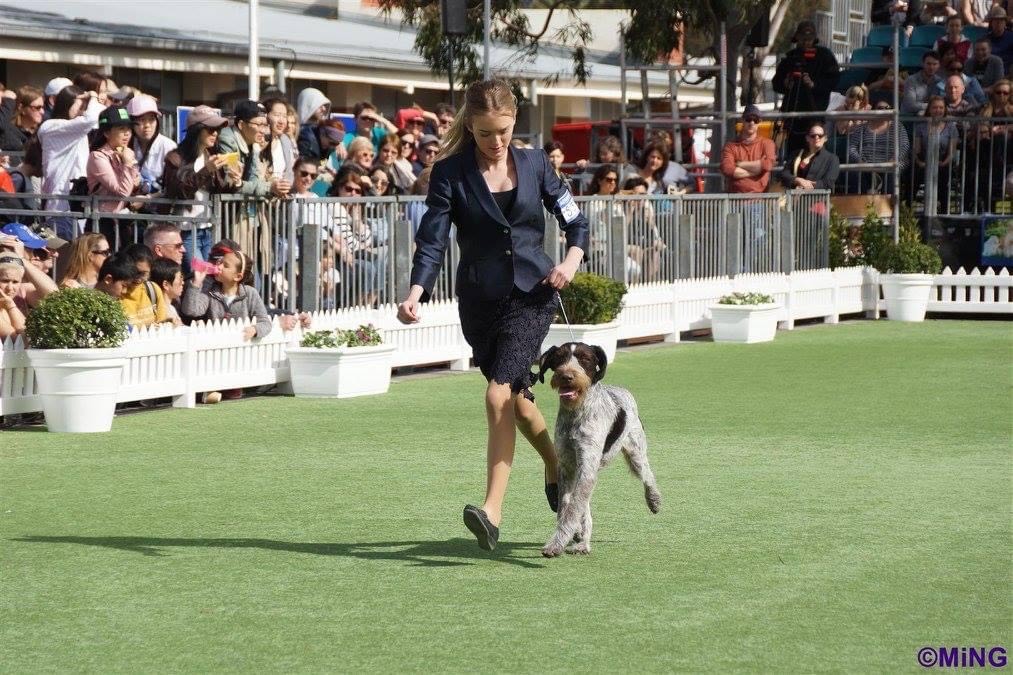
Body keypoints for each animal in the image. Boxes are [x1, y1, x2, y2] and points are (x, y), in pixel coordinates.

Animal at [534, 342, 660, 555]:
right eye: (559, 358)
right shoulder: (568, 467)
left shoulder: (586, 467)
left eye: (585, 359)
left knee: (648, 475)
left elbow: (573, 509)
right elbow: (567, 506)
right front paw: (573, 534)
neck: (576, 413)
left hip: (636, 454)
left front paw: (556, 543)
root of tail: (624, 392)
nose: (566, 376)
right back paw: (582, 542)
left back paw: (654, 500)